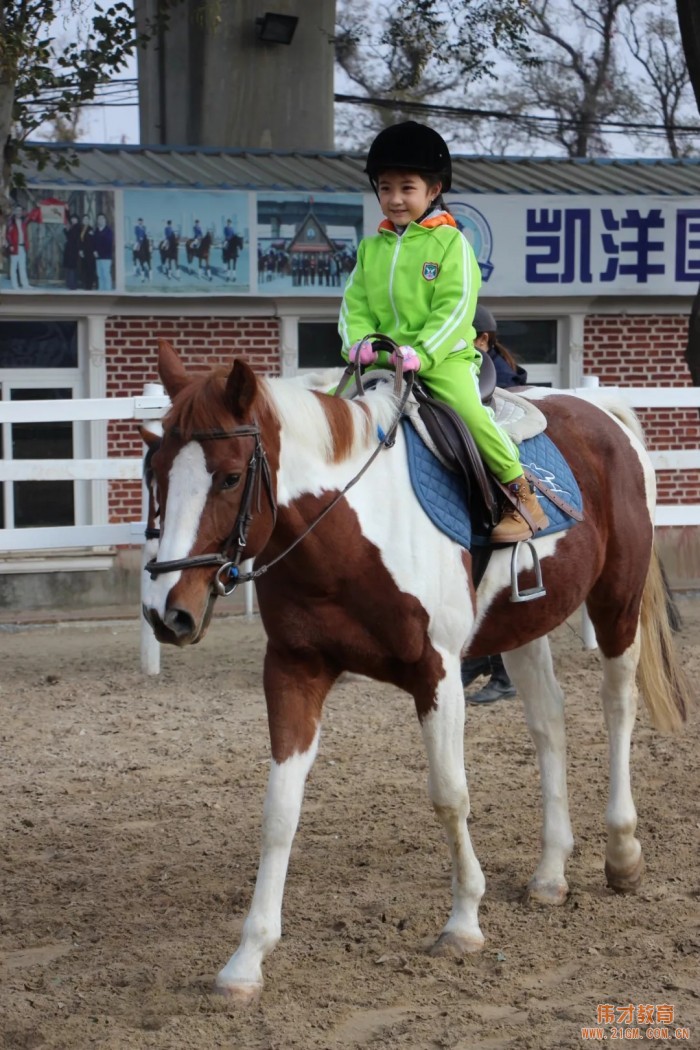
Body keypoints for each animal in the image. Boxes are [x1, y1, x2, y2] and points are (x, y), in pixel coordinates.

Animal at [142, 338, 690, 1003]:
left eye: (227, 475)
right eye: (155, 473)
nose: (167, 611)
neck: (349, 531)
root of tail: (602, 413)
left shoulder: (439, 672)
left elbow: (449, 796)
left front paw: (463, 922)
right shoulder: (294, 670)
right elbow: (279, 814)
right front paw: (247, 959)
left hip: (617, 604)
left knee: (617, 708)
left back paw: (623, 853)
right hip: (523, 624)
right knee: (549, 725)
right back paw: (550, 872)